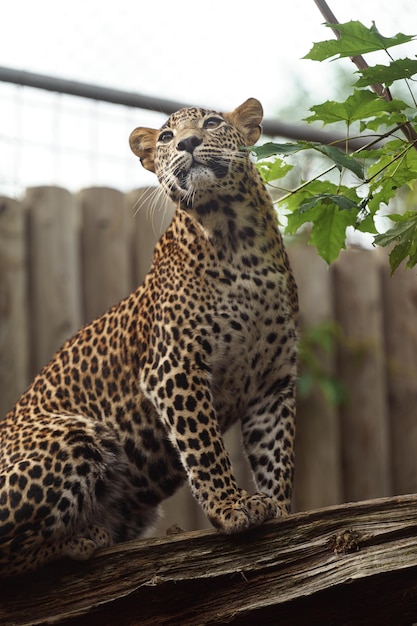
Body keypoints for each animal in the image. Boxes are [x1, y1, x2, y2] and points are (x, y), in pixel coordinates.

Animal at [0, 98, 300, 576]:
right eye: (165, 138)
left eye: (211, 123)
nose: (188, 144)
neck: (239, 238)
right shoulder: (174, 367)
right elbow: (205, 446)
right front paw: (231, 507)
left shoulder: (274, 381)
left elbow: (277, 453)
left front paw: (280, 510)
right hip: (76, 435)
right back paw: (80, 539)